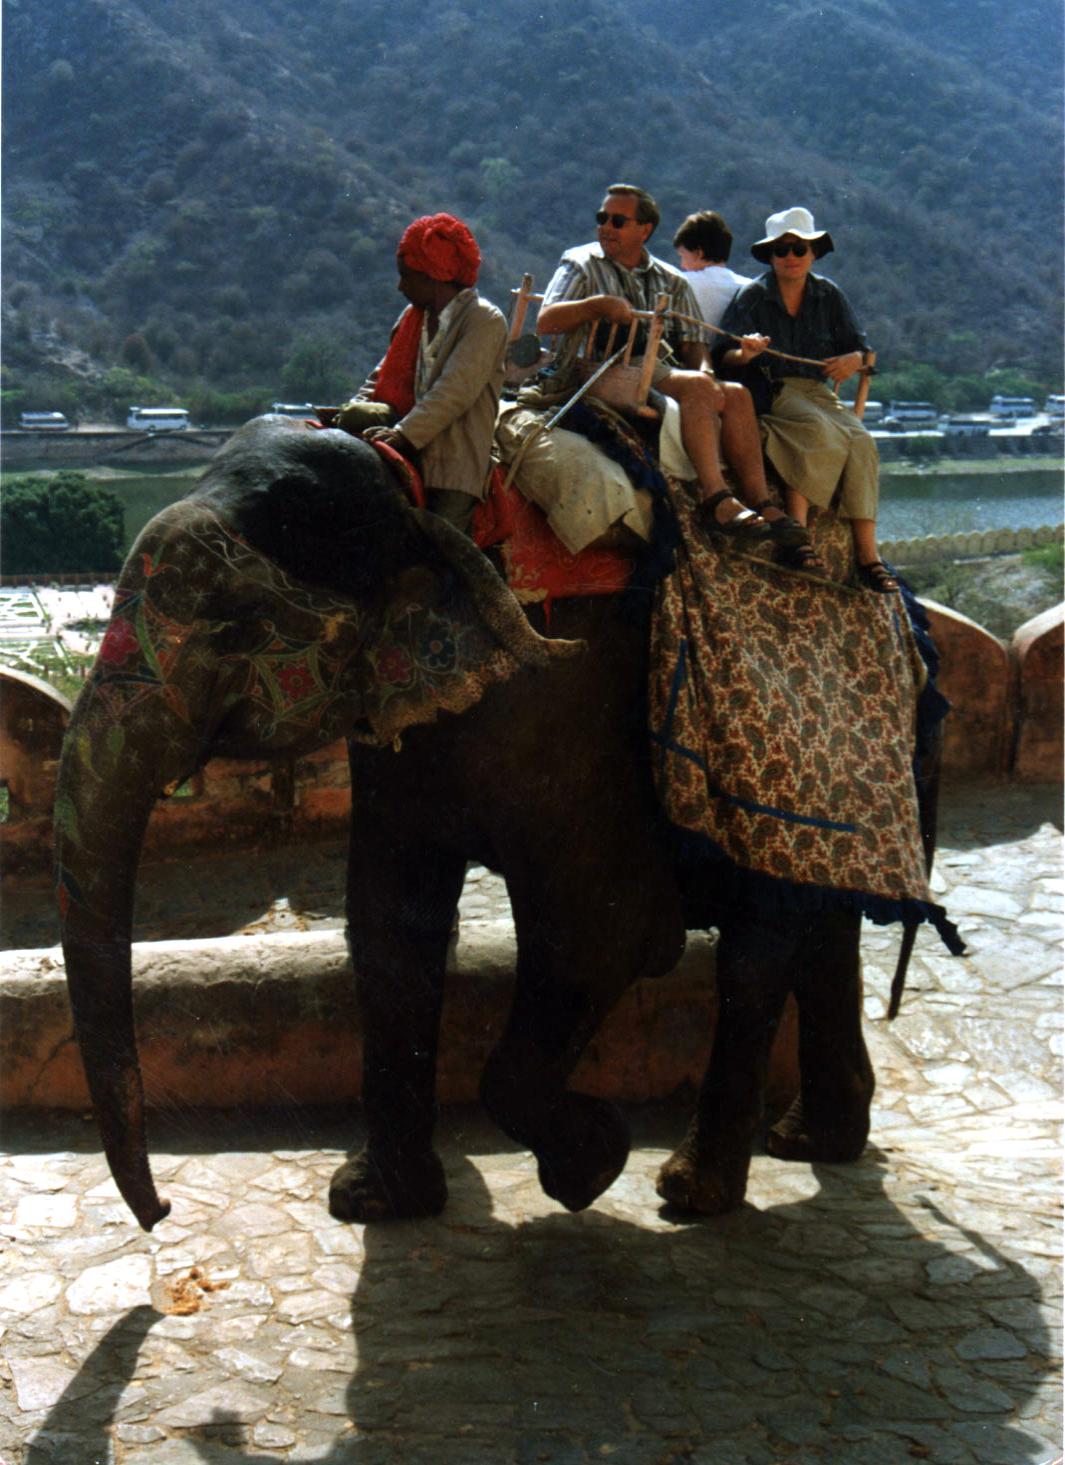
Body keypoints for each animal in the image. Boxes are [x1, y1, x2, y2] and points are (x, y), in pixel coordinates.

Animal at [54, 416, 943, 1236]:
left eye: (237, 626)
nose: (162, 1211)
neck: (420, 498)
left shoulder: (565, 698)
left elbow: (604, 931)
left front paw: (590, 1165)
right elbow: (391, 921)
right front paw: (374, 1202)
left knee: (757, 949)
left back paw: (692, 1192)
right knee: (819, 926)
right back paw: (812, 1143)